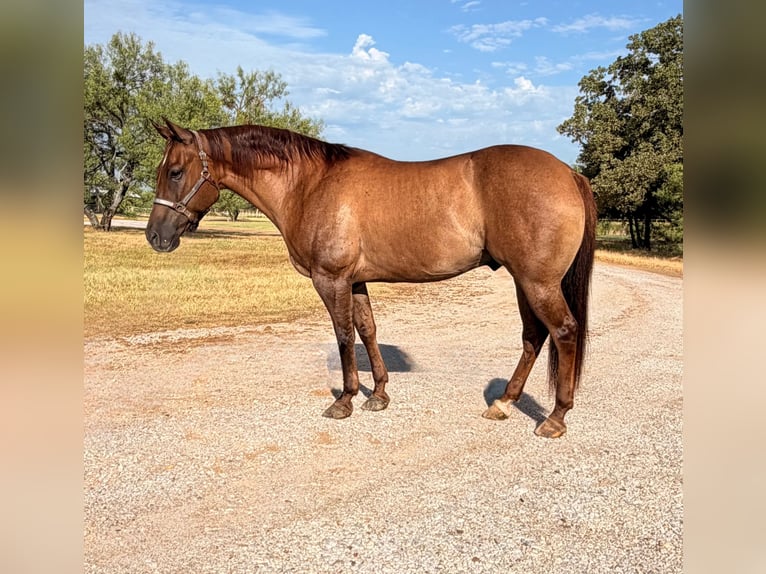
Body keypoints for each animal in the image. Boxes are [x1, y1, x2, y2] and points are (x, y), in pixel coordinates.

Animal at [146, 118, 597, 438]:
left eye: (175, 171)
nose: (156, 236)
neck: (310, 184)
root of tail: (568, 173)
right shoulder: (356, 281)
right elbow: (367, 330)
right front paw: (378, 394)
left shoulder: (330, 280)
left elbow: (344, 335)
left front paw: (344, 400)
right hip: (525, 282)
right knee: (534, 337)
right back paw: (503, 402)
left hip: (537, 282)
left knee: (563, 331)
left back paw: (555, 417)